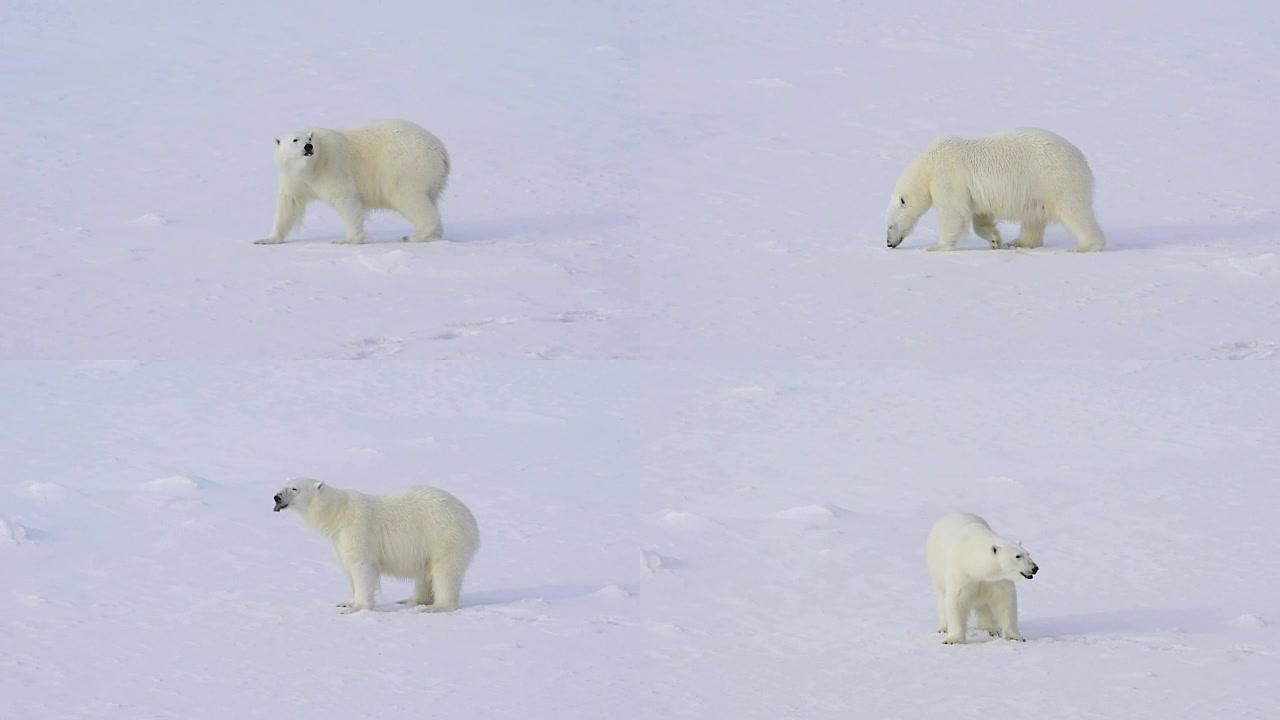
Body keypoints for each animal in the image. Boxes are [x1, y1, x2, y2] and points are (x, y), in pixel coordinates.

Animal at [254, 119, 450, 244]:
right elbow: (289, 204)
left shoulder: (332, 168)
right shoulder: (293, 179)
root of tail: (441, 150)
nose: (308, 147)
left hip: (406, 167)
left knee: (407, 196)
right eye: (295, 140)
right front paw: (267, 239)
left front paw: (347, 240)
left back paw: (415, 236)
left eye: (309, 138)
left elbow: (346, 199)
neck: (311, 168)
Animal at [275, 476, 481, 609]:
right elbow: (348, 568)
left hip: (444, 536)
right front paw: (346, 602)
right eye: (284, 484)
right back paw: (411, 600)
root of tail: (471, 520)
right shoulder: (338, 539)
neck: (338, 513)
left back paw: (438, 606)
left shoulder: (358, 530)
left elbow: (361, 566)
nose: (276, 497)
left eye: (294, 488)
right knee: (424, 573)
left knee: (445, 572)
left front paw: (357, 607)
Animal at [885, 127, 1105, 251]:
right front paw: (994, 240)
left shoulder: (947, 176)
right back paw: (1018, 242)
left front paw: (936, 247)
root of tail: (1083, 161)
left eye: (890, 226)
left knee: (1074, 211)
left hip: (1056, 180)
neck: (927, 166)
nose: (888, 243)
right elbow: (980, 216)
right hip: (1037, 190)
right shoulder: (973, 192)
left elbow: (953, 213)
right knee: (1033, 218)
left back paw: (1087, 246)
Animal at [931, 509, 1039, 645]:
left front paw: (1014, 637)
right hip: (936, 569)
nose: (1035, 568)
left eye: (1028, 554)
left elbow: (1005, 600)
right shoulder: (961, 573)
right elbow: (957, 599)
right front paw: (953, 640)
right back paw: (944, 628)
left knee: (984, 605)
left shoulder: (997, 579)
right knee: (941, 597)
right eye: (1017, 556)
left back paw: (990, 629)